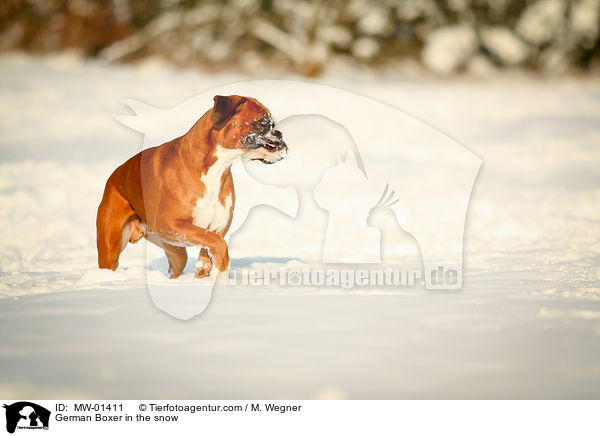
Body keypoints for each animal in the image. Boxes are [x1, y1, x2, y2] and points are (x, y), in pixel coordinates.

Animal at [96, 96, 288, 280]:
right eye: (262, 123)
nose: (280, 133)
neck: (217, 167)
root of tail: (115, 174)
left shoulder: (216, 229)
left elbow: (209, 249)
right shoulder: (169, 223)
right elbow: (218, 243)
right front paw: (222, 273)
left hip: (176, 252)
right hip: (110, 249)